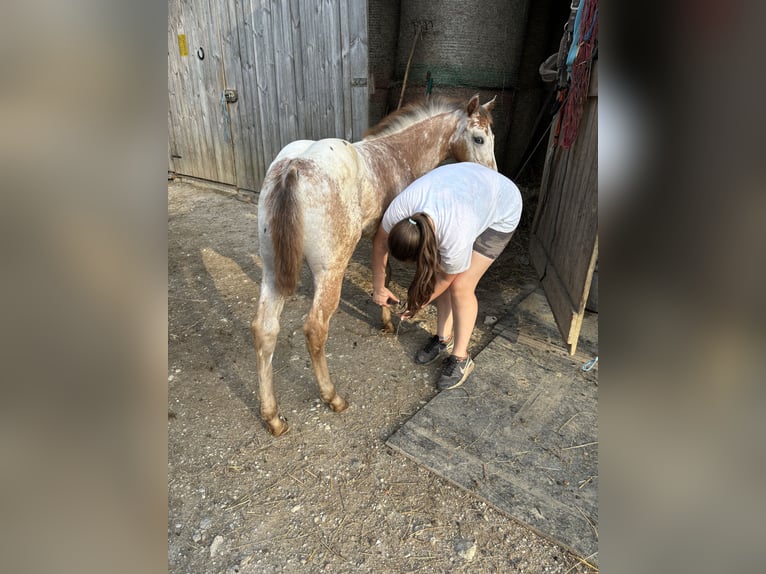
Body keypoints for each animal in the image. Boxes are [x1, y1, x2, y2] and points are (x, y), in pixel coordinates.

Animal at [252, 94, 498, 436]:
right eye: (479, 138)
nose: (492, 176)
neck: (398, 154)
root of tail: (293, 168)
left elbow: (382, 273)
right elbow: (387, 272)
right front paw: (389, 320)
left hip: (272, 269)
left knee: (265, 330)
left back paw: (272, 417)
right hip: (330, 271)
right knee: (315, 329)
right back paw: (333, 397)